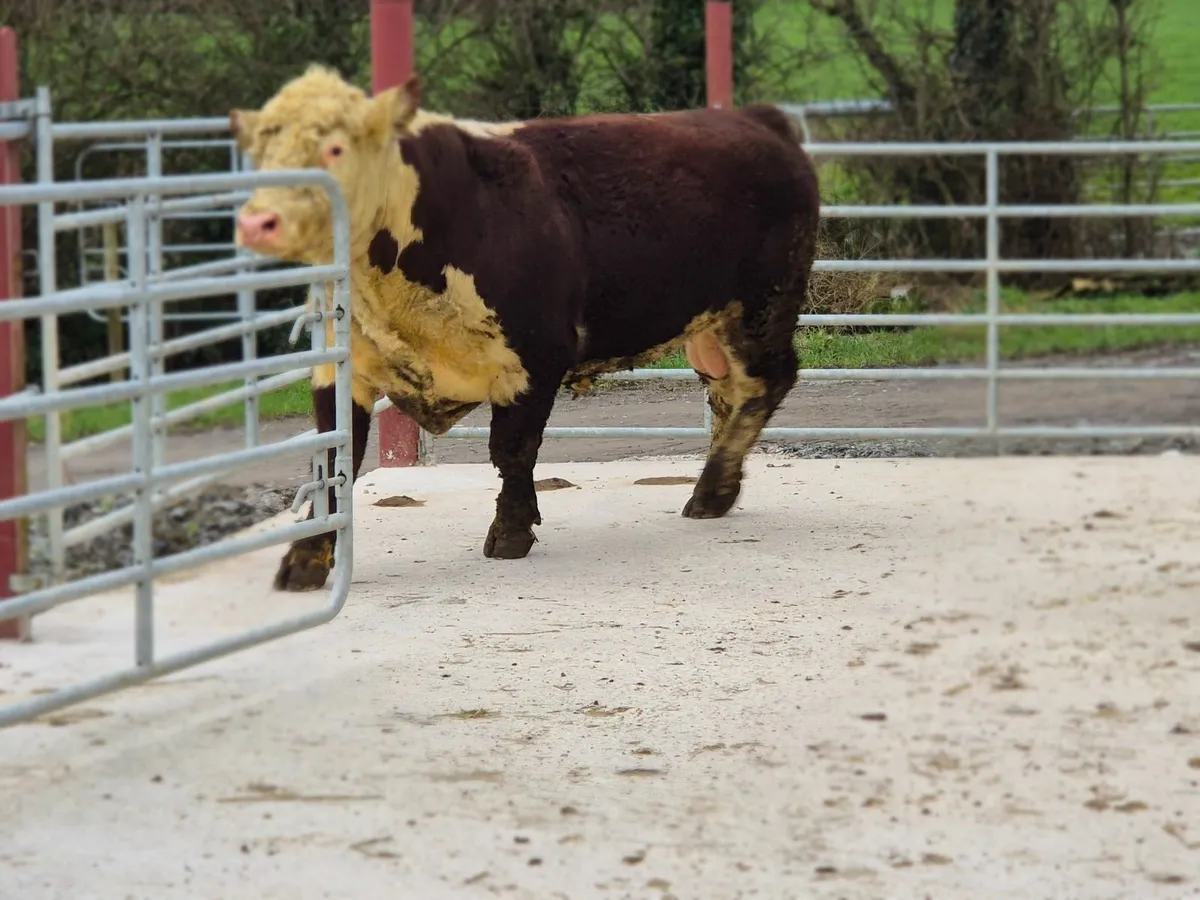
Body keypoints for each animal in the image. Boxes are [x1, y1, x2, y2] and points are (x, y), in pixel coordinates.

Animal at [229, 65, 820, 592]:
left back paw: (711, 490)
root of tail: (753, 117)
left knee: (766, 382)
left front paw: (511, 531)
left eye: (334, 149)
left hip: (761, 308)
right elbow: (332, 460)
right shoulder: (343, 364)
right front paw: (307, 558)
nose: (258, 222)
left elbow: (512, 450)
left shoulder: (535, 353)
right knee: (728, 392)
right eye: (263, 154)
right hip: (711, 329)